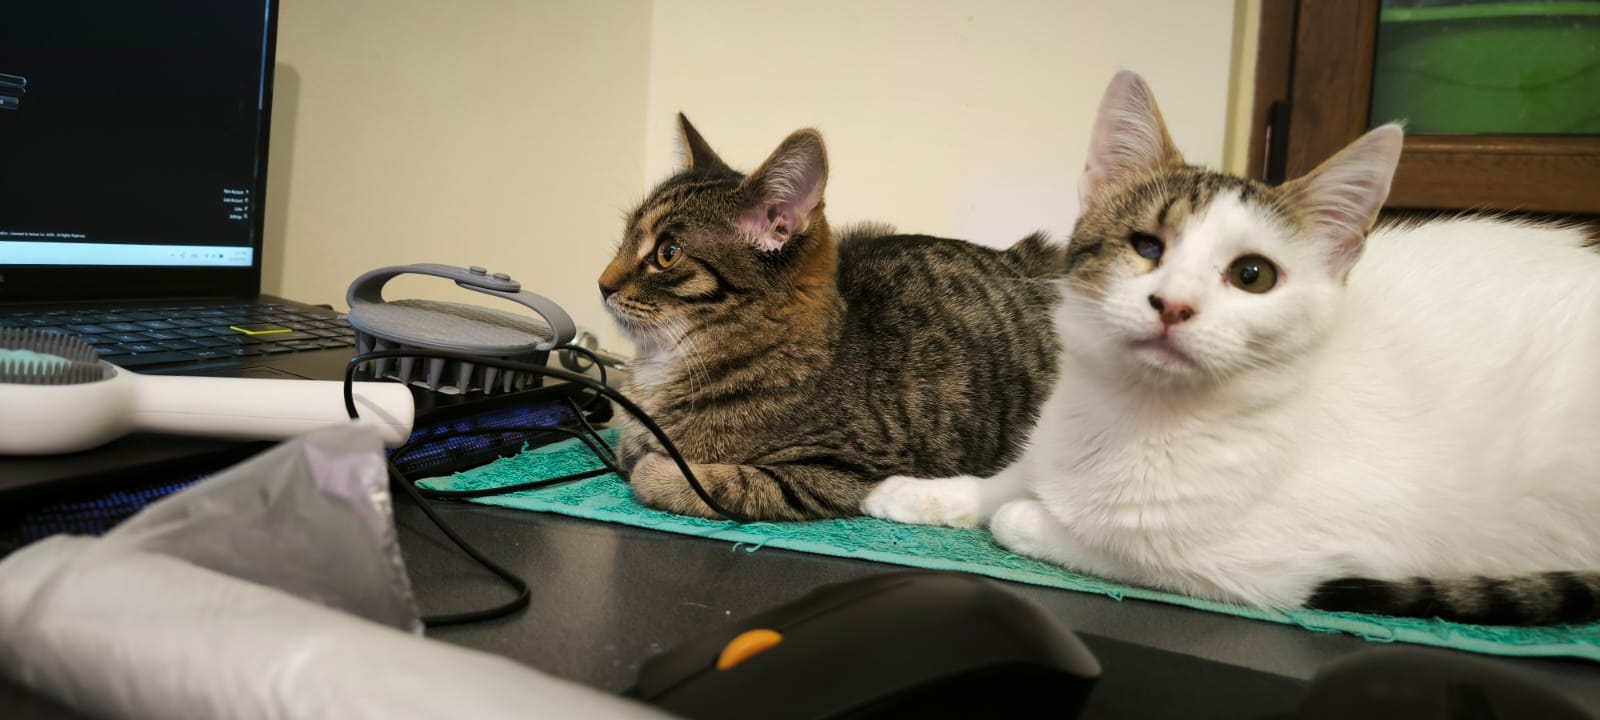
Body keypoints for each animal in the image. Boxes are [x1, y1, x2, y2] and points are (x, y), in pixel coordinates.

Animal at [597, 114, 1064, 521]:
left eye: (667, 253)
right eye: (624, 240)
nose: (601, 284)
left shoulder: (843, 471)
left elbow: (695, 478)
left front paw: (655, 468)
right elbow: (630, 446)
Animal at [863, 70, 1600, 625]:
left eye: (1253, 275)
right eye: (1147, 246)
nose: (1174, 305)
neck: (1135, 417)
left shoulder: (1277, 566)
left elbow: (1064, 529)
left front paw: (1022, 516)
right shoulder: (1055, 445)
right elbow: (1012, 478)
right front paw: (919, 494)